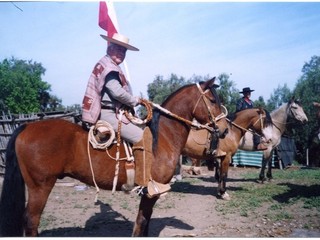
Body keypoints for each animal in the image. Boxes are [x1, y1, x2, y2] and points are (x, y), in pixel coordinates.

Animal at [0, 78, 228, 236]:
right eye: (212, 100)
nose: (225, 130)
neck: (161, 136)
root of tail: (27, 126)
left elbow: (145, 222)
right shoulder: (150, 192)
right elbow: (142, 222)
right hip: (41, 186)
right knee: (31, 221)